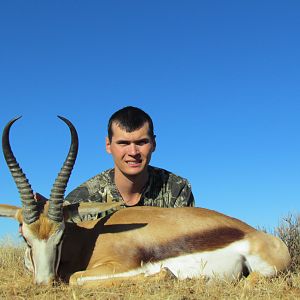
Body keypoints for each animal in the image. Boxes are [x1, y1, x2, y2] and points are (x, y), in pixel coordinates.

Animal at [0, 116, 290, 286]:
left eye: (60, 236)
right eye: (25, 237)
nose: (44, 283)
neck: (87, 240)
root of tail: (259, 234)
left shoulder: (118, 264)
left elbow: (76, 279)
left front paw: (163, 274)